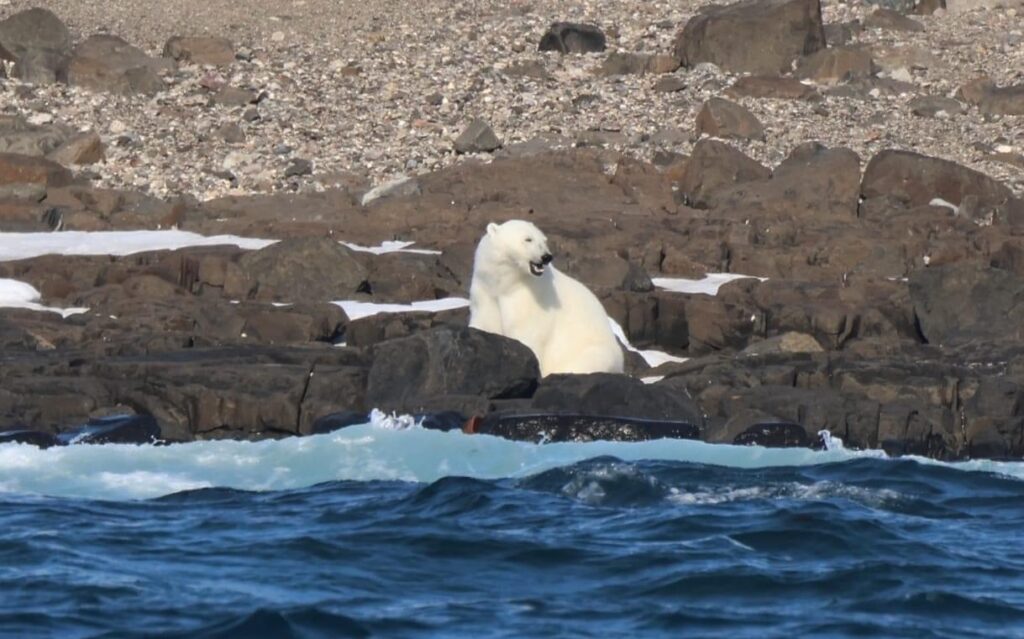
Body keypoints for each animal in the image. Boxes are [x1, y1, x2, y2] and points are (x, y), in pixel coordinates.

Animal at [466, 222, 622, 376]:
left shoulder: (528, 298)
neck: (507, 283)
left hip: (594, 351)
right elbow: (485, 321)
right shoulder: (485, 289)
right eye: (528, 239)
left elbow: (525, 332)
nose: (546, 256)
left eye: (543, 241)